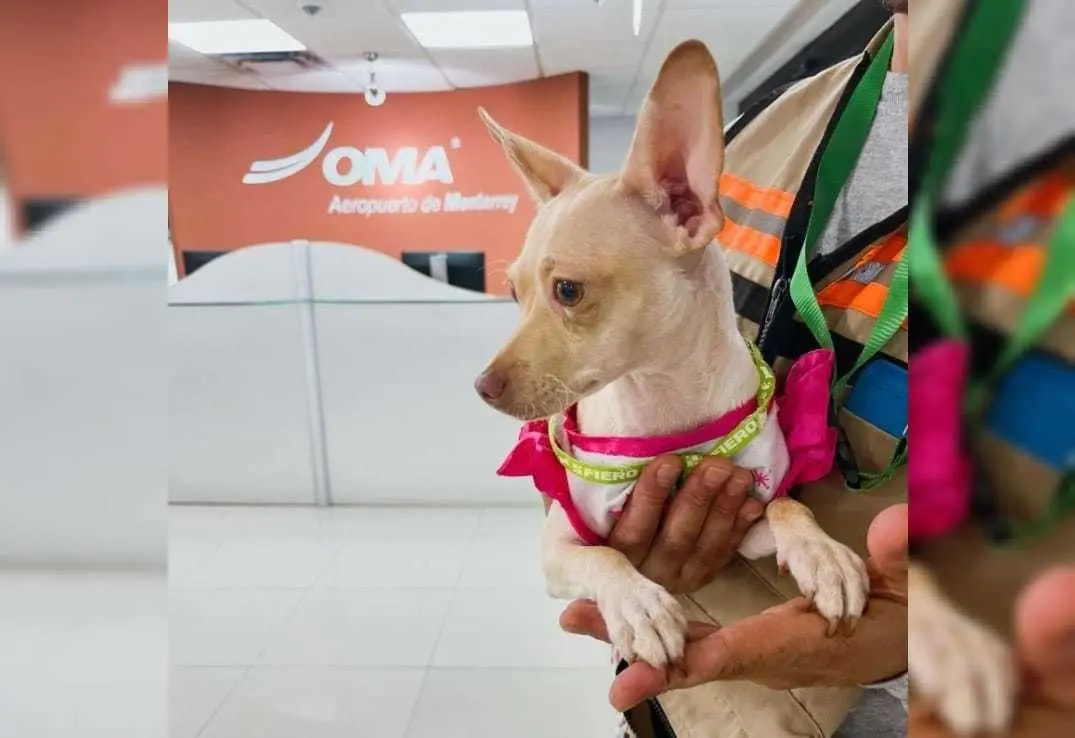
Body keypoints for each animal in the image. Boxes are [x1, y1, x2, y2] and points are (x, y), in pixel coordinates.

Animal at [475, 40, 868, 683]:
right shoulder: (560, 545)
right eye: (513, 292)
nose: (481, 387)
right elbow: (606, 558)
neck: (664, 402)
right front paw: (638, 604)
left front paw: (821, 554)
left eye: (567, 291)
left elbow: (787, 504)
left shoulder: (745, 519)